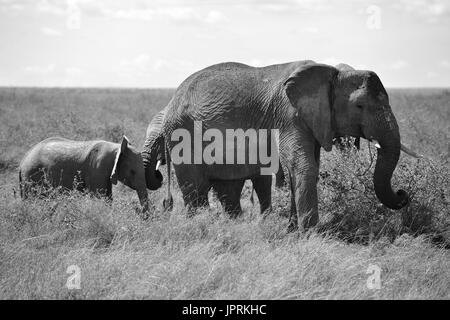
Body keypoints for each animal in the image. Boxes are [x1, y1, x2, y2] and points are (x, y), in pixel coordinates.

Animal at [18, 136, 149, 216]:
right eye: (132, 172)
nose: (138, 210)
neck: (117, 147)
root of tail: (22, 161)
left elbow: (108, 197)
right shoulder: (97, 168)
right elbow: (100, 197)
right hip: (32, 175)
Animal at [142, 60, 416, 230]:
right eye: (359, 106)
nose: (403, 194)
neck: (331, 73)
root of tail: (173, 97)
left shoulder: (313, 119)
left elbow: (305, 167)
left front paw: (293, 230)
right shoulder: (288, 114)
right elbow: (302, 166)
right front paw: (311, 235)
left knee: (226, 188)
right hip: (182, 133)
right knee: (195, 189)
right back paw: (200, 225)